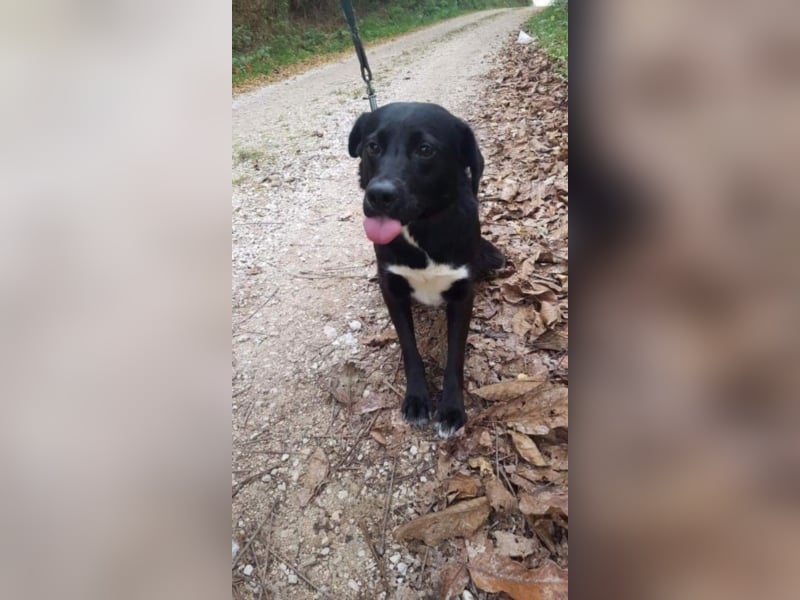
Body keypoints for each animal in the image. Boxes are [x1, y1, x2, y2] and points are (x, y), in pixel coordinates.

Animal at [348, 102, 503, 438]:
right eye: (373, 146)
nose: (379, 195)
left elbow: (455, 355)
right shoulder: (392, 289)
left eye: (425, 149)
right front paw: (418, 398)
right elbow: (409, 348)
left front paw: (452, 408)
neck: (421, 229)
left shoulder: (462, 295)